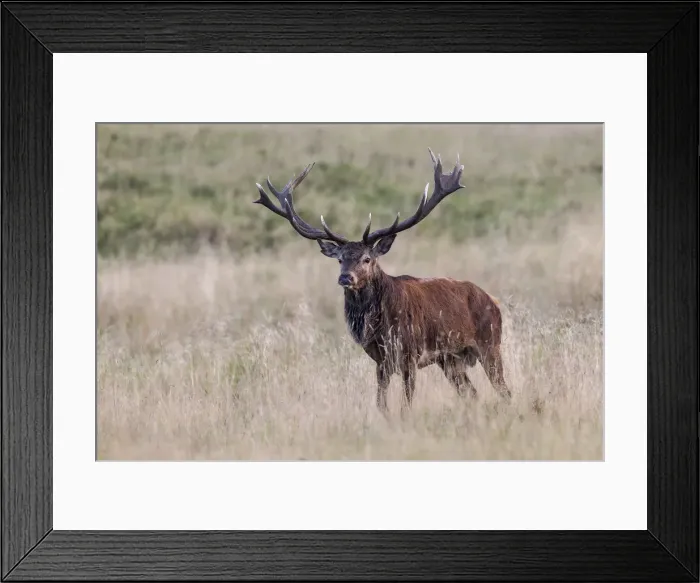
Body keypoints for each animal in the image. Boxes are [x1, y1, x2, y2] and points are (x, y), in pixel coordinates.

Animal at [253, 148, 511, 416]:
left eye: (367, 258)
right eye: (340, 259)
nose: (345, 277)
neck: (379, 325)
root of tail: (493, 301)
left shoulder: (410, 354)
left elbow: (406, 403)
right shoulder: (380, 360)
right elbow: (381, 403)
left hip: (490, 344)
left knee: (504, 391)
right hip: (450, 359)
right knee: (472, 394)